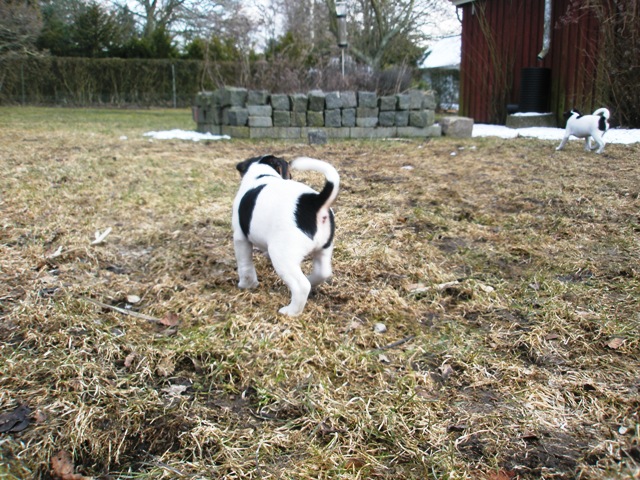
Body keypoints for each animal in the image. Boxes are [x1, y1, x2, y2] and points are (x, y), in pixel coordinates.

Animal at [231, 156, 340, 316]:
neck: (262, 173)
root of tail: (314, 202)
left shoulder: (240, 238)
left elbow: (245, 266)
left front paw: (247, 285)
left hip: (282, 256)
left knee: (301, 286)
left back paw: (290, 312)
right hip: (324, 249)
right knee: (323, 273)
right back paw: (311, 280)